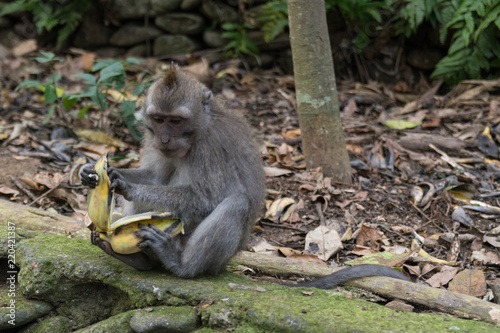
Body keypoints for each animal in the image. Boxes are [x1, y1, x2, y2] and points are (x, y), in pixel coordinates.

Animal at [81, 65, 410, 288]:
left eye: (176, 121)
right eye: (159, 119)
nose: (164, 138)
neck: (197, 132)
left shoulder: (211, 146)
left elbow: (206, 198)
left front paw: (128, 185)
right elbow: (155, 175)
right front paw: (100, 173)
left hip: (213, 254)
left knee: (235, 203)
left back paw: (179, 264)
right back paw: (138, 258)